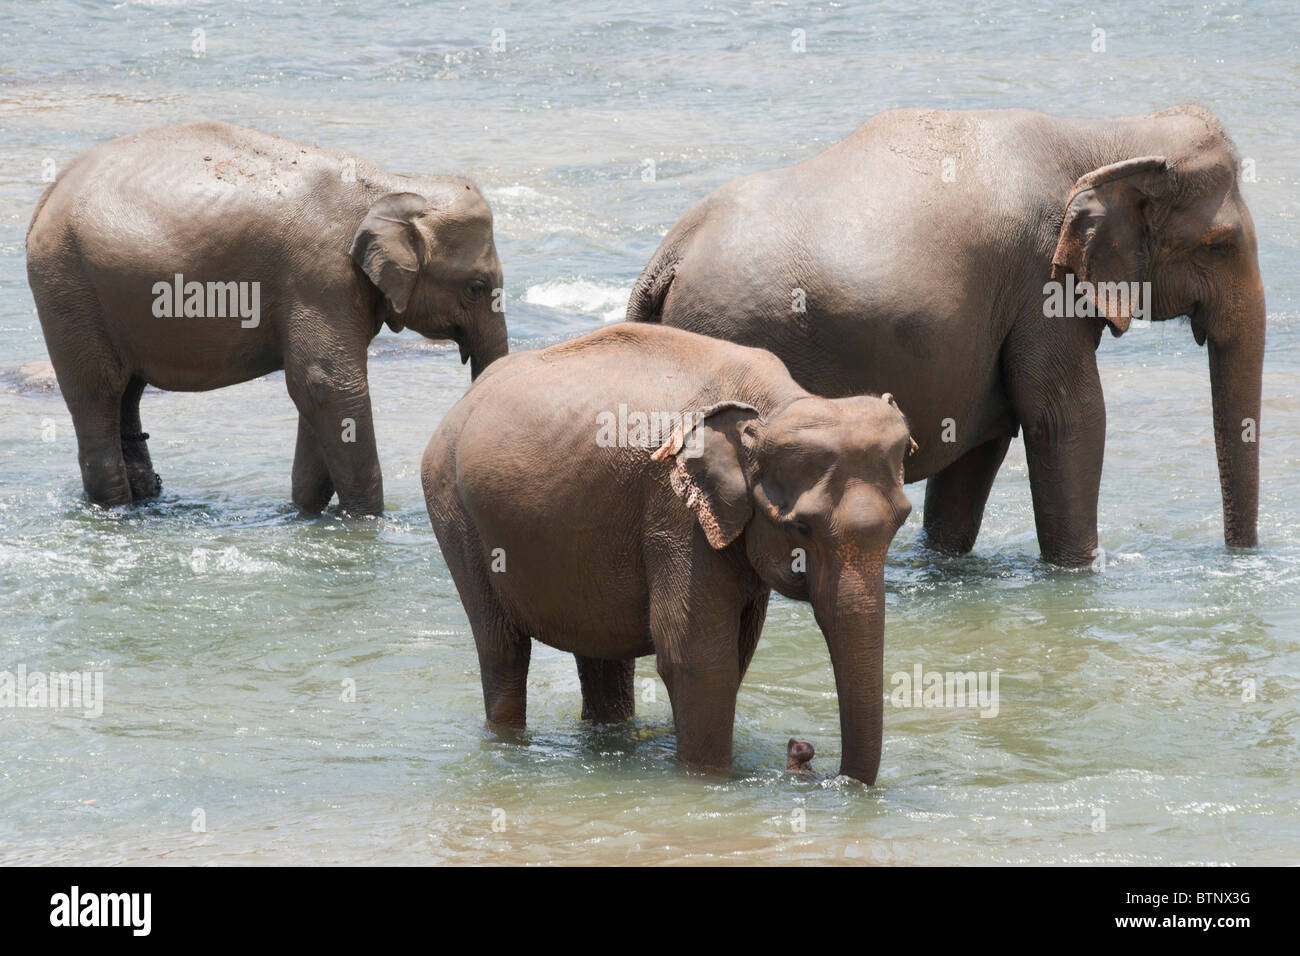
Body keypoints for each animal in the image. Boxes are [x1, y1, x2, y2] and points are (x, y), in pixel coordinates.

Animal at [29, 120, 506, 515]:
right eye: (477, 287)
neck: (392, 186)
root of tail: (49, 193)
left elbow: (316, 392)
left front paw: (307, 513)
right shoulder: (319, 276)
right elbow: (327, 382)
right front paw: (367, 521)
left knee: (128, 395)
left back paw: (147, 500)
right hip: (68, 288)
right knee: (98, 393)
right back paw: (116, 509)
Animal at [629, 104, 1258, 567]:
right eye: (1220, 244)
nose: (1238, 559)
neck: (1105, 133)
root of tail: (665, 258)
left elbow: (982, 443)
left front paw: (945, 563)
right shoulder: (1039, 283)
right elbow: (1064, 417)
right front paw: (1079, 573)